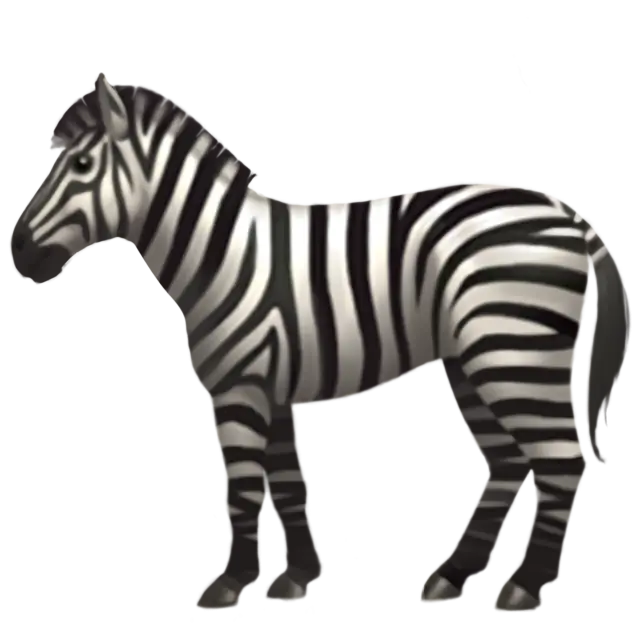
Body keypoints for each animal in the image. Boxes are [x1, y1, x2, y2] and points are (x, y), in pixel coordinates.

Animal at [12, 72, 605, 614]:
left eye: (81, 167)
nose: (17, 250)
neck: (221, 255)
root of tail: (558, 207)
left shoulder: (240, 386)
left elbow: (244, 489)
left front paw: (231, 590)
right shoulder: (274, 385)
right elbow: (284, 486)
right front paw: (290, 580)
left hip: (513, 349)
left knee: (559, 456)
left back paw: (525, 591)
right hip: (468, 359)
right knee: (504, 462)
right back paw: (452, 581)